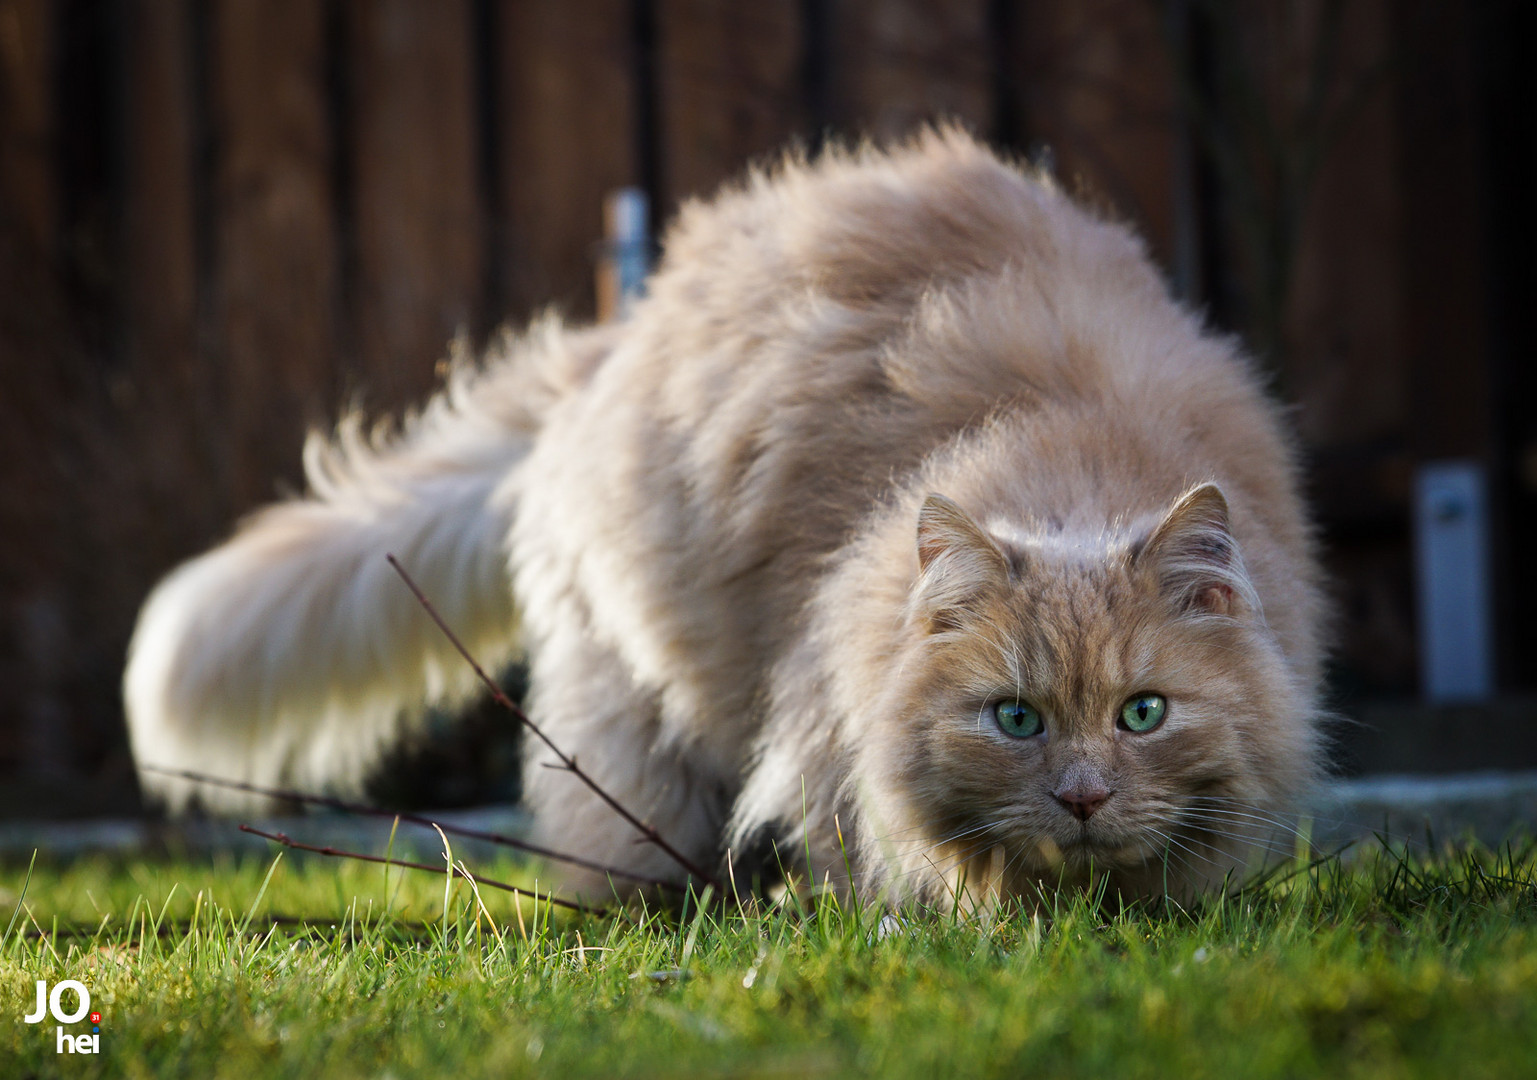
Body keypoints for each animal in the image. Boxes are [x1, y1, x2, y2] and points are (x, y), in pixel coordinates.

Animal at [122, 130, 1321, 915]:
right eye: (1015, 719)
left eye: (1142, 714)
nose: (1080, 798)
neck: (1068, 444)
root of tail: (620, 334)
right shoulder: (815, 698)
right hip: (630, 691)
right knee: (619, 835)